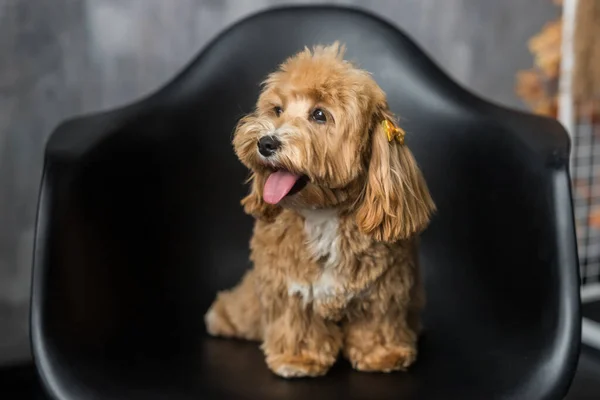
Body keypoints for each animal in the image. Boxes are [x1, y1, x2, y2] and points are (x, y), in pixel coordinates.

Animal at [204, 42, 434, 376]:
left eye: (319, 115)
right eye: (278, 110)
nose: (266, 143)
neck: (322, 213)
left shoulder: (385, 288)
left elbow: (378, 321)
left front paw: (383, 354)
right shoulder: (289, 287)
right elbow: (297, 321)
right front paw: (298, 358)